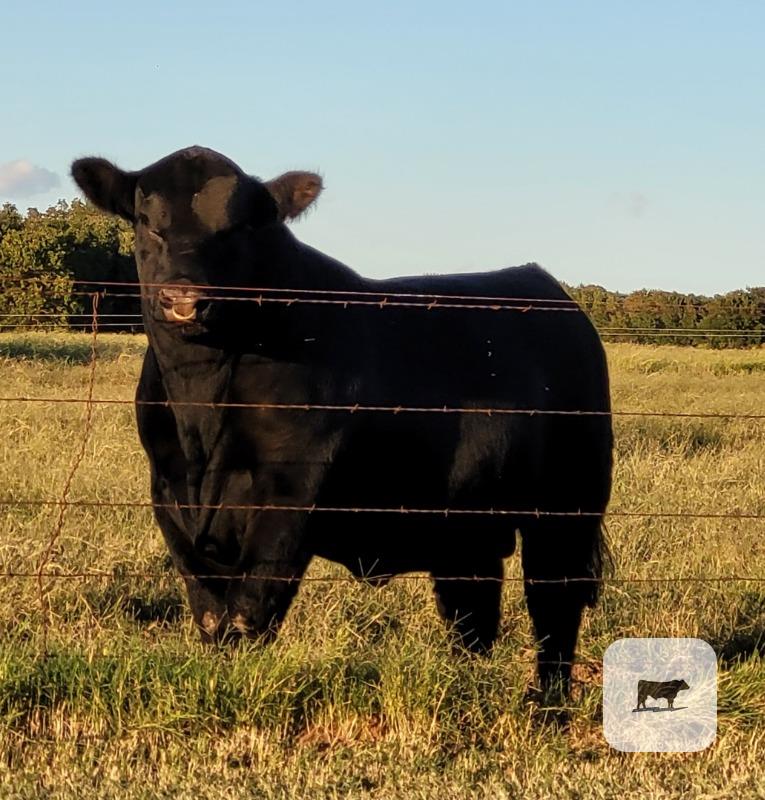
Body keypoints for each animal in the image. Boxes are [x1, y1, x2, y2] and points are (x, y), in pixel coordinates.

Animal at [71, 146, 613, 700]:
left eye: (240, 228)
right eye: (145, 220)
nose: (184, 297)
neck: (200, 413)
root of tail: (544, 285)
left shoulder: (291, 491)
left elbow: (247, 614)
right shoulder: (168, 491)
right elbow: (209, 614)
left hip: (568, 505)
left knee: (554, 606)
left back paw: (546, 704)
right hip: (466, 523)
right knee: (472, 613)